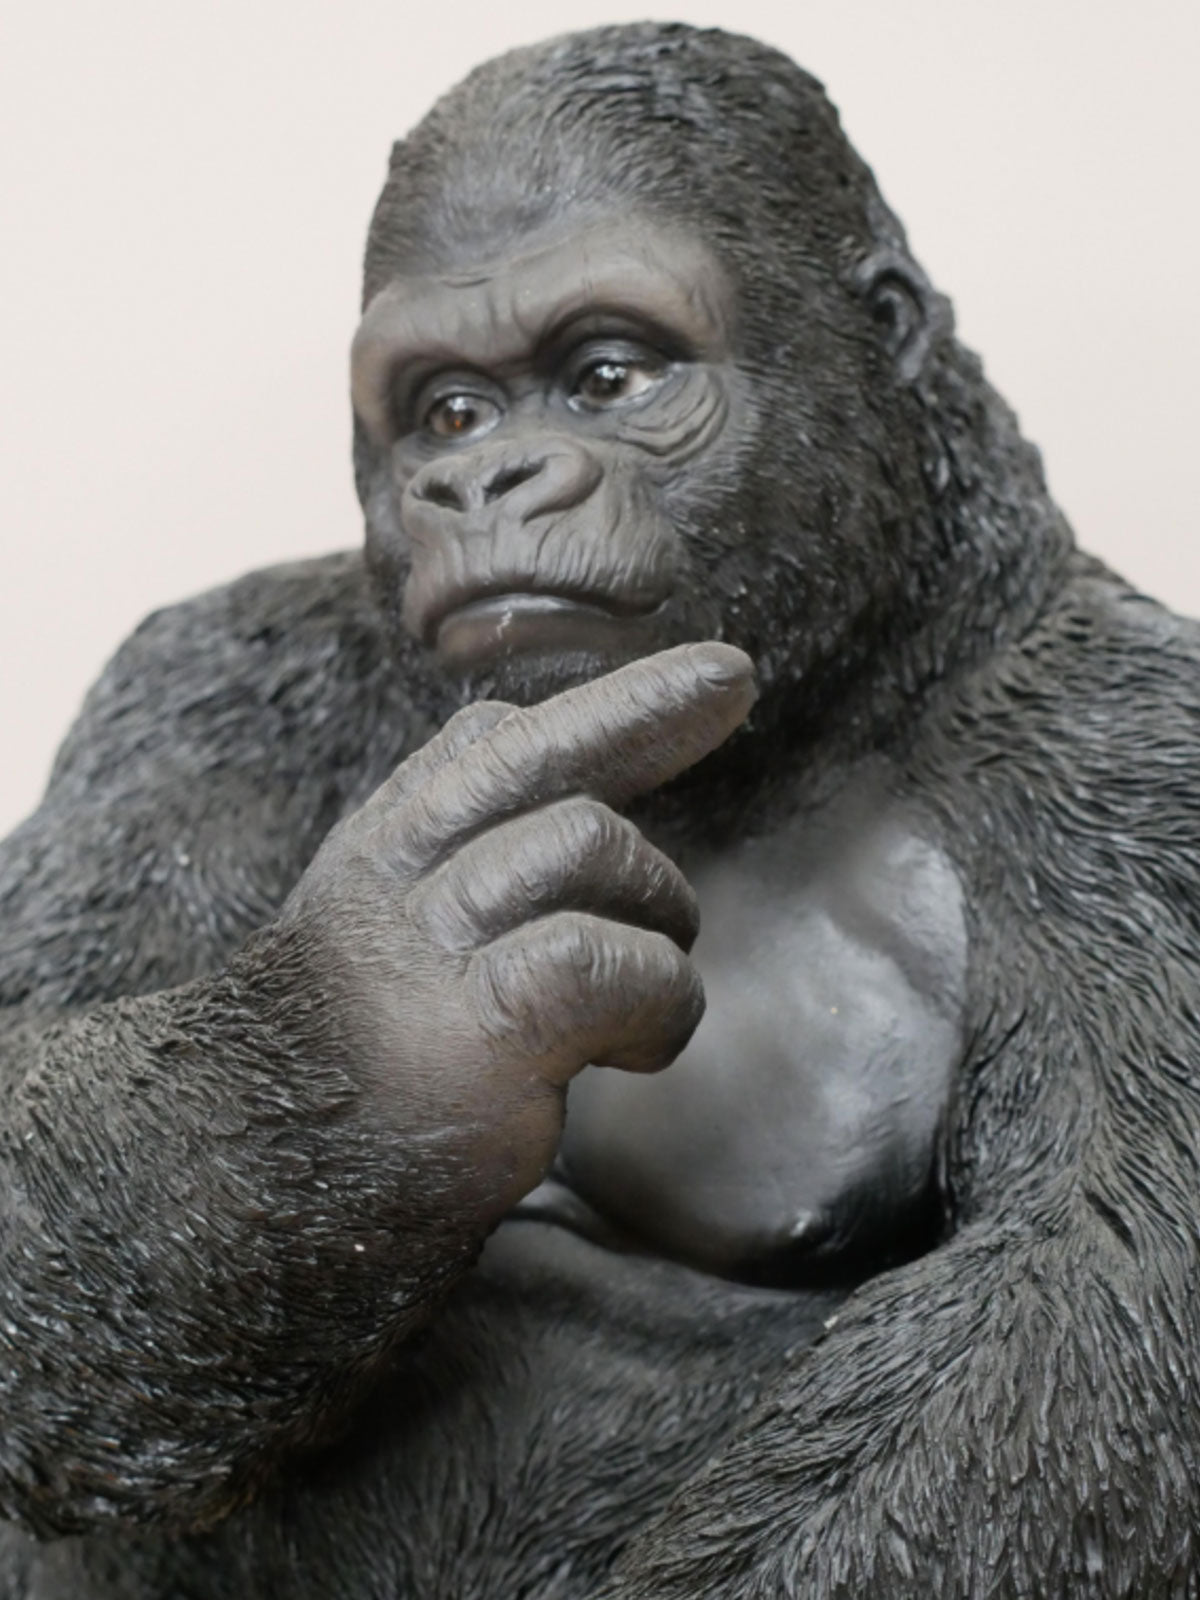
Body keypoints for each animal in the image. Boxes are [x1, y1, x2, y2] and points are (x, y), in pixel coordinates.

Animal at [0, 21, 1197, 1599]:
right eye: (447, 410)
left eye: (608, 375)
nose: (479, 480)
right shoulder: (205, 682)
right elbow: (33, 1054)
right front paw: (384, 1023)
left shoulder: (1129, 766)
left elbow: (1071, 1303)